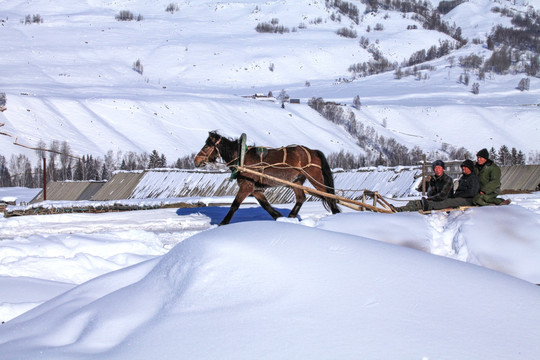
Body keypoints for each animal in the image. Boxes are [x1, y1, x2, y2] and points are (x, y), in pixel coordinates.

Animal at [193, 131, 338, 224]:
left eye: (207, 145)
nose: (196, 160)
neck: (242, 158)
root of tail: (313, 151)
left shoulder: (246, 187)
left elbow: (234, 205)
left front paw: (223, 223)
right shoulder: (256, 189)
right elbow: (265, 205)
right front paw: (279, 217)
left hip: (315, 178)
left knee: (329, 197)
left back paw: (337, 216)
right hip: (296, 181)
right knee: (301, 198)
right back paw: (291, 216)